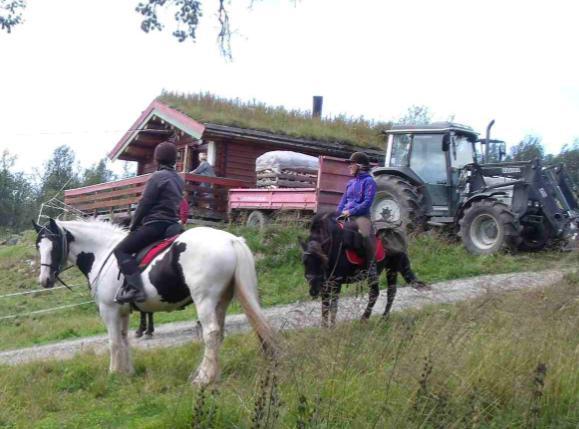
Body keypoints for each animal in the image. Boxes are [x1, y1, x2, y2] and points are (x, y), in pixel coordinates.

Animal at [35, 217, 276, 384]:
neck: (104, 252)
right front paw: (127, 372)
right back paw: (211, 374)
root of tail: (231, 239)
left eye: (53, 246)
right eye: (39, 246)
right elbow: (124, 339)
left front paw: (114, 374)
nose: (44, 280)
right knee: (219, 335)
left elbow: (113, 342)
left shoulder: (109, 310)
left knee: (211, 334)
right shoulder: (122, 311)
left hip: (205, 300)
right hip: (220, 302)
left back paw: (203, 379)